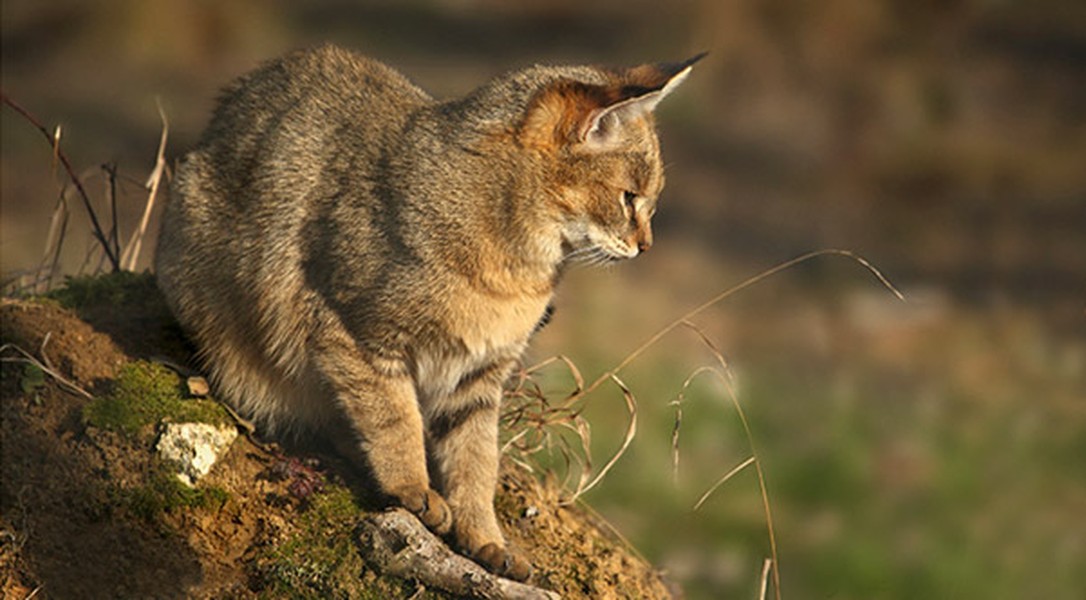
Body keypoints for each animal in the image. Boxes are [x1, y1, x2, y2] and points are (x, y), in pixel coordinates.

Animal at [153, 44, 699, 578]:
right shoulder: (353, 333)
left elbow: (477, 461)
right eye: (629, 198)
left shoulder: (479, 379)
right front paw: (412, 487)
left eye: (649, 202)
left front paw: (484, 537)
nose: (647, 246)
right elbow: (395, 419)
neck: (516, 273)